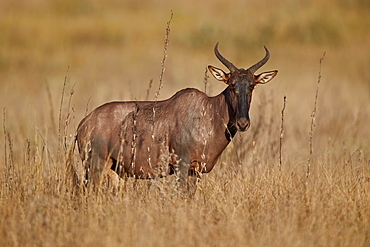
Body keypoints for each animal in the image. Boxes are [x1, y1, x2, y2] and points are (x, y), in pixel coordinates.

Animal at [75, 43, 278, 193]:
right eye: (231, 84)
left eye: (252, 85)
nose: (243, 123)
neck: (207, 112)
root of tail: (83, 124)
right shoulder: (182, 165)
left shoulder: (195, 171)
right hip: (96, 165)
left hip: (115, 170)